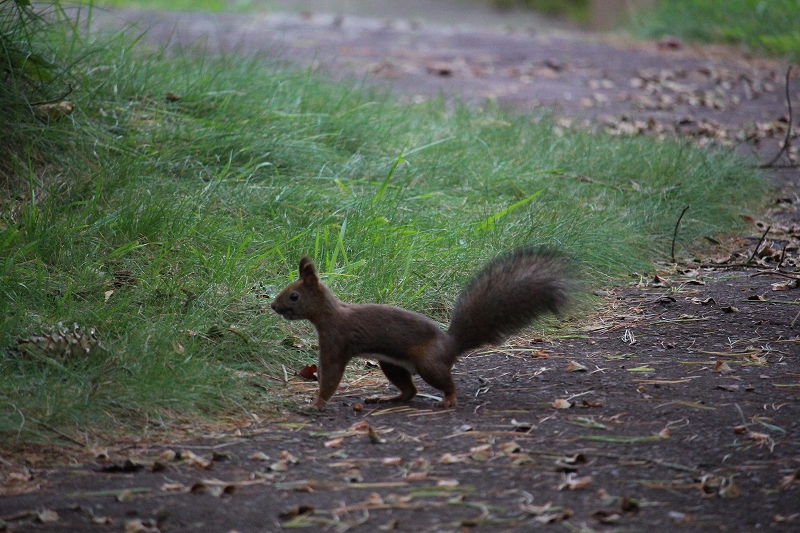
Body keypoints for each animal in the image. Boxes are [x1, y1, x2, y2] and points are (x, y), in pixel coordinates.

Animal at [272, 247, 572, 410]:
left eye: (294, 296)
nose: (274, 306)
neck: (330, 315)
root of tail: (450, 346)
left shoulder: (337, 341)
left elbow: (331, 376)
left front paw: (316, 404)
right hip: (392, 364)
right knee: (410, 391)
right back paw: (386, 398)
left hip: (428, 364)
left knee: (444, 384)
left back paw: (448, 399)